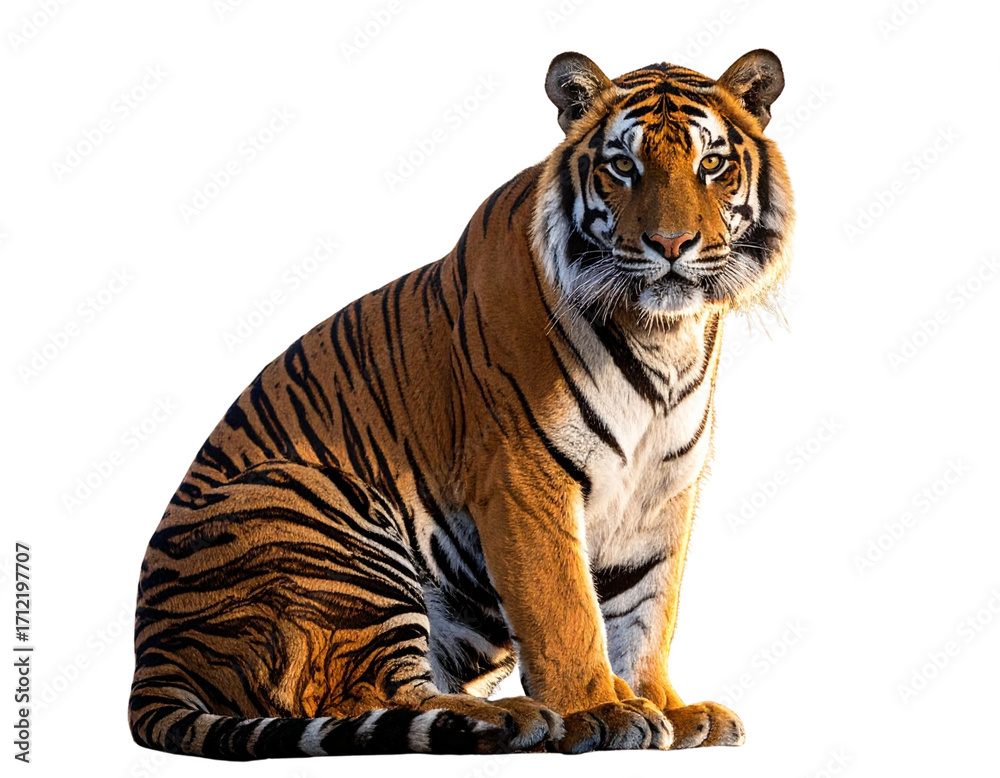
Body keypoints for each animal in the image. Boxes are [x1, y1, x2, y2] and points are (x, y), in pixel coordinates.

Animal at [128, 49, 793, 758]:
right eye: (622, 166)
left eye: (712, 164)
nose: (671, 245)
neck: (663, 337)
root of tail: (151, 660)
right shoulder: (524, 475)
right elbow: (566, 609)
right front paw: (603, 712)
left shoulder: (664, 489)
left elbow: (648, 611)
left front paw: (669, 706)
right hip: (318, 511)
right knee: (359, 696)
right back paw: (514, 719)